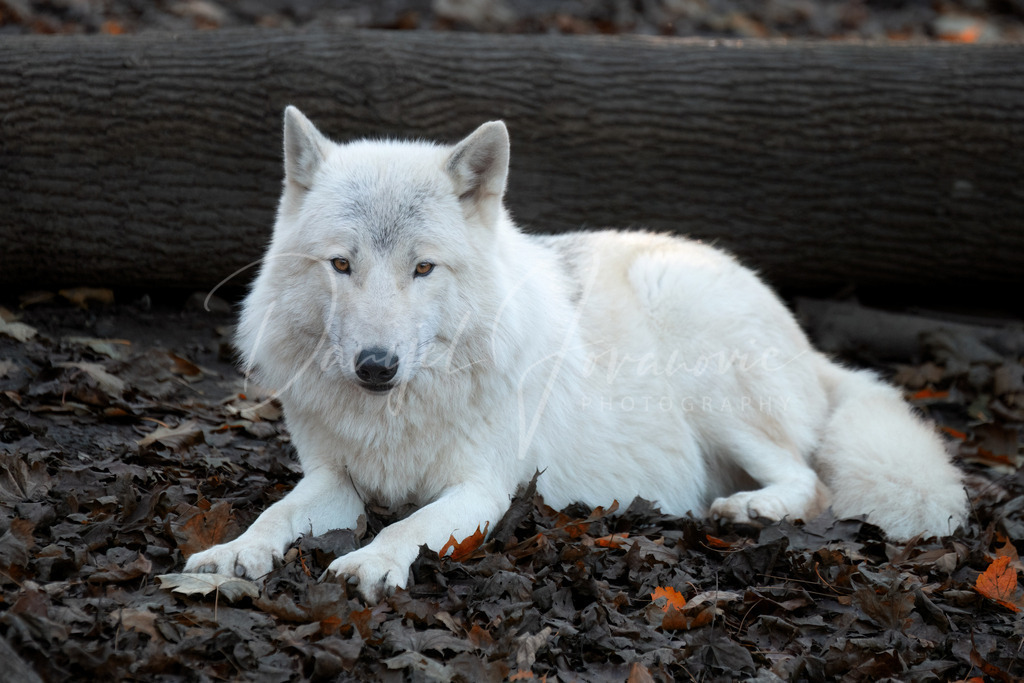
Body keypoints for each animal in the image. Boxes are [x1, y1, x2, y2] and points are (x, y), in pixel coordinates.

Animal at [184, 107, 967, 600]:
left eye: (423, 268)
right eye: (341, 265)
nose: (376, 366)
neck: (400, 412)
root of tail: (809, 345)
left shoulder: (482, 489)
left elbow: (410, 524)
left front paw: (370, 561)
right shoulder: (333, 480)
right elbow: (274, 516)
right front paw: (231, 554)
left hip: (709, 377)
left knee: (810, 482)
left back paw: (745, 512)